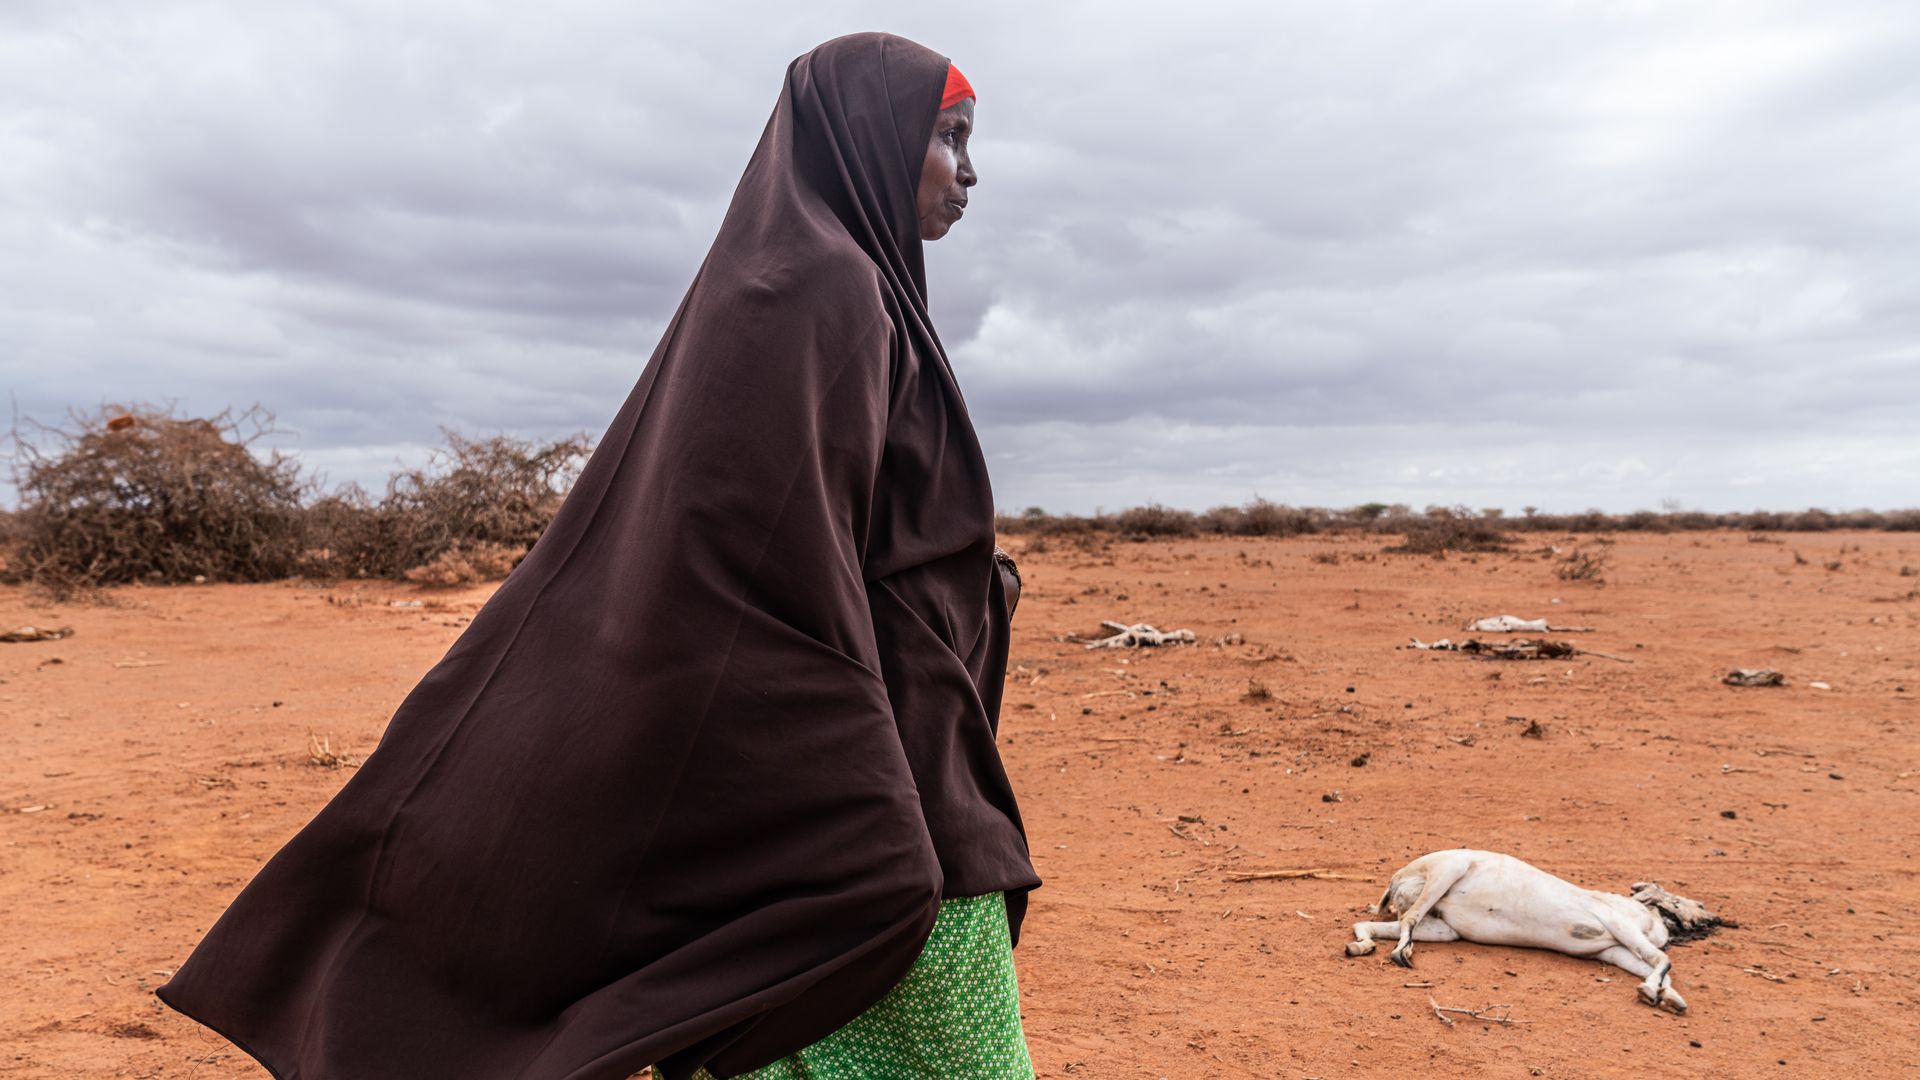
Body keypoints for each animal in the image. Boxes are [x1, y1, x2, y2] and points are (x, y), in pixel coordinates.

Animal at [1344, 849, 1687, 1013]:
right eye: (1674, 901)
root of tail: (1397, 878)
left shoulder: (1611, 950)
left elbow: (1656, 967)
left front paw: (1668, 998)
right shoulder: (1617, 922)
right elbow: (1663, 960)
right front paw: (1651, 992)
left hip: (1444, 928)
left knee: (1375, 924)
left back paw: (1361, 946)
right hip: (1450, 869)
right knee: (1410, 920)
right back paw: (1401, 953)